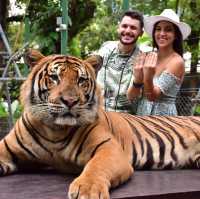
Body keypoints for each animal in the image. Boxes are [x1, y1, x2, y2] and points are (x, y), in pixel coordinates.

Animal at [0, 48, 199, 199]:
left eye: (81, 80)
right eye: (55, 77)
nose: (70, 101)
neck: (55, 130)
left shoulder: (110, 149)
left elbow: (96, 167)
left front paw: (87, 190)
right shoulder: (6, 148)